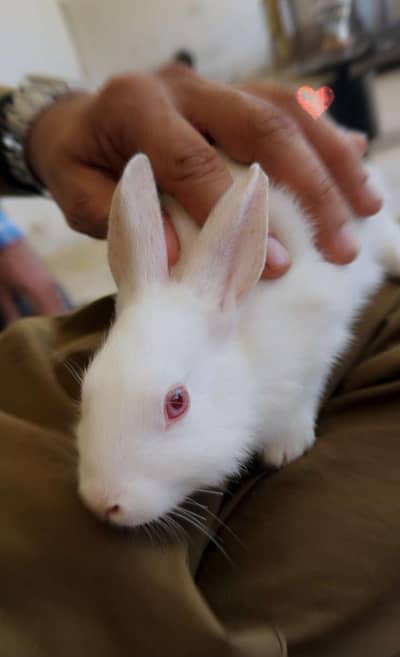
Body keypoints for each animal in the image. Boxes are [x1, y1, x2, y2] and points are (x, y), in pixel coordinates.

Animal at [76, 152, 400, 529]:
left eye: (177, 402)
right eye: (85, 390)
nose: (103, 502)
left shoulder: (319, 334)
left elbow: (309, 388)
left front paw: (286, 447)